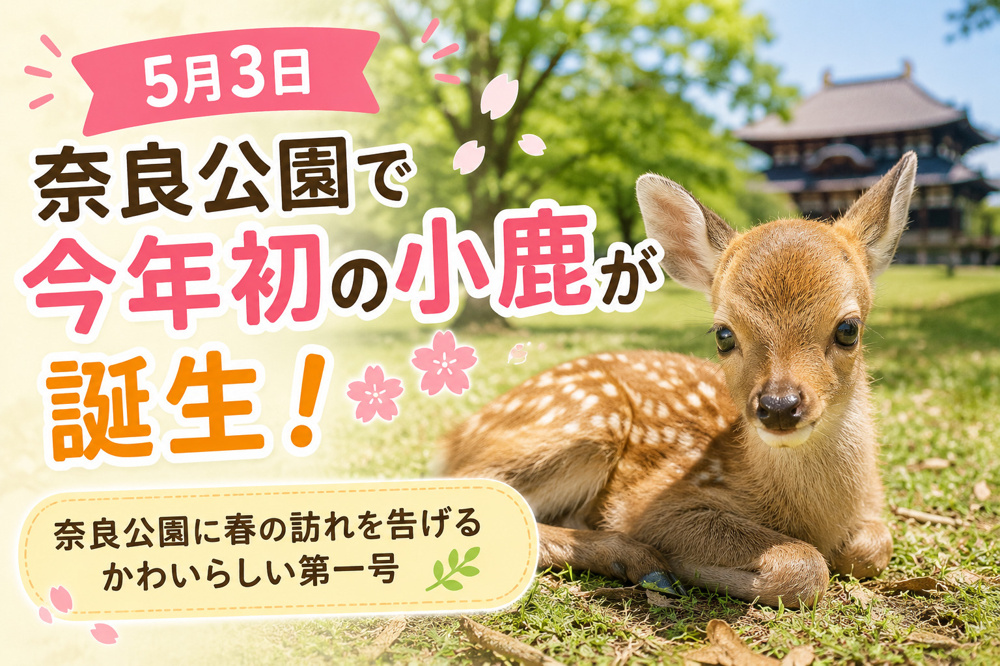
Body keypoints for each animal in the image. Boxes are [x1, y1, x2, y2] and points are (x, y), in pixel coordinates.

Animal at [437, 152, 917, 609]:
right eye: (724, 335)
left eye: (848, 328)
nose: (779, 406)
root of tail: (454, 437)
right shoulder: (648, 500)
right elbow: (804, 563)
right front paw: (697, 567)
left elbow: (873, 547)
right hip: (590, 420)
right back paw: (639, 559)